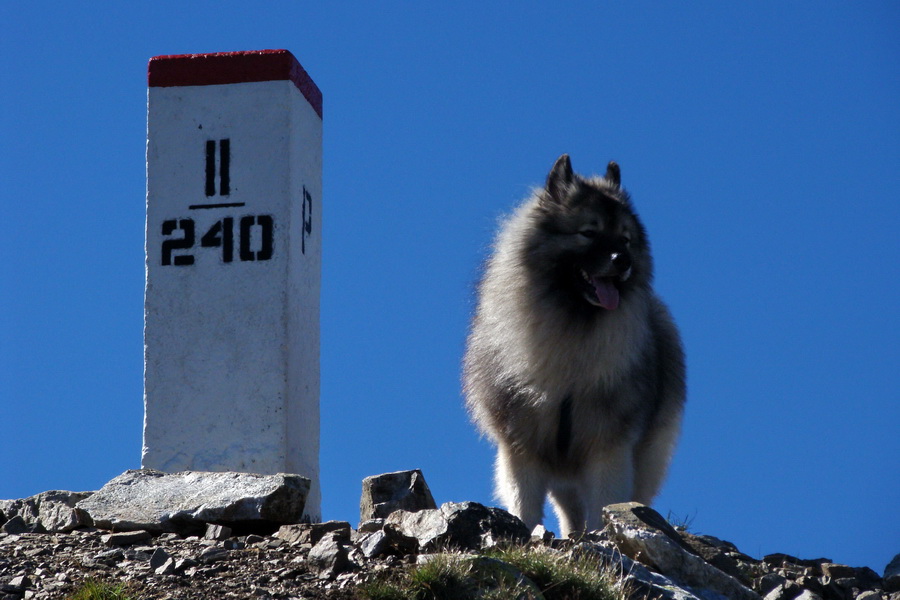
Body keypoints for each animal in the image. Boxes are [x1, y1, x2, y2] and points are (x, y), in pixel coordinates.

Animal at [460, 154, 684, 536]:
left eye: (625, 239)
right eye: (588, 233)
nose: (623, 261)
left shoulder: (609, 446)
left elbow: (605, 503)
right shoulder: (521, 446)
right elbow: (525, 503)